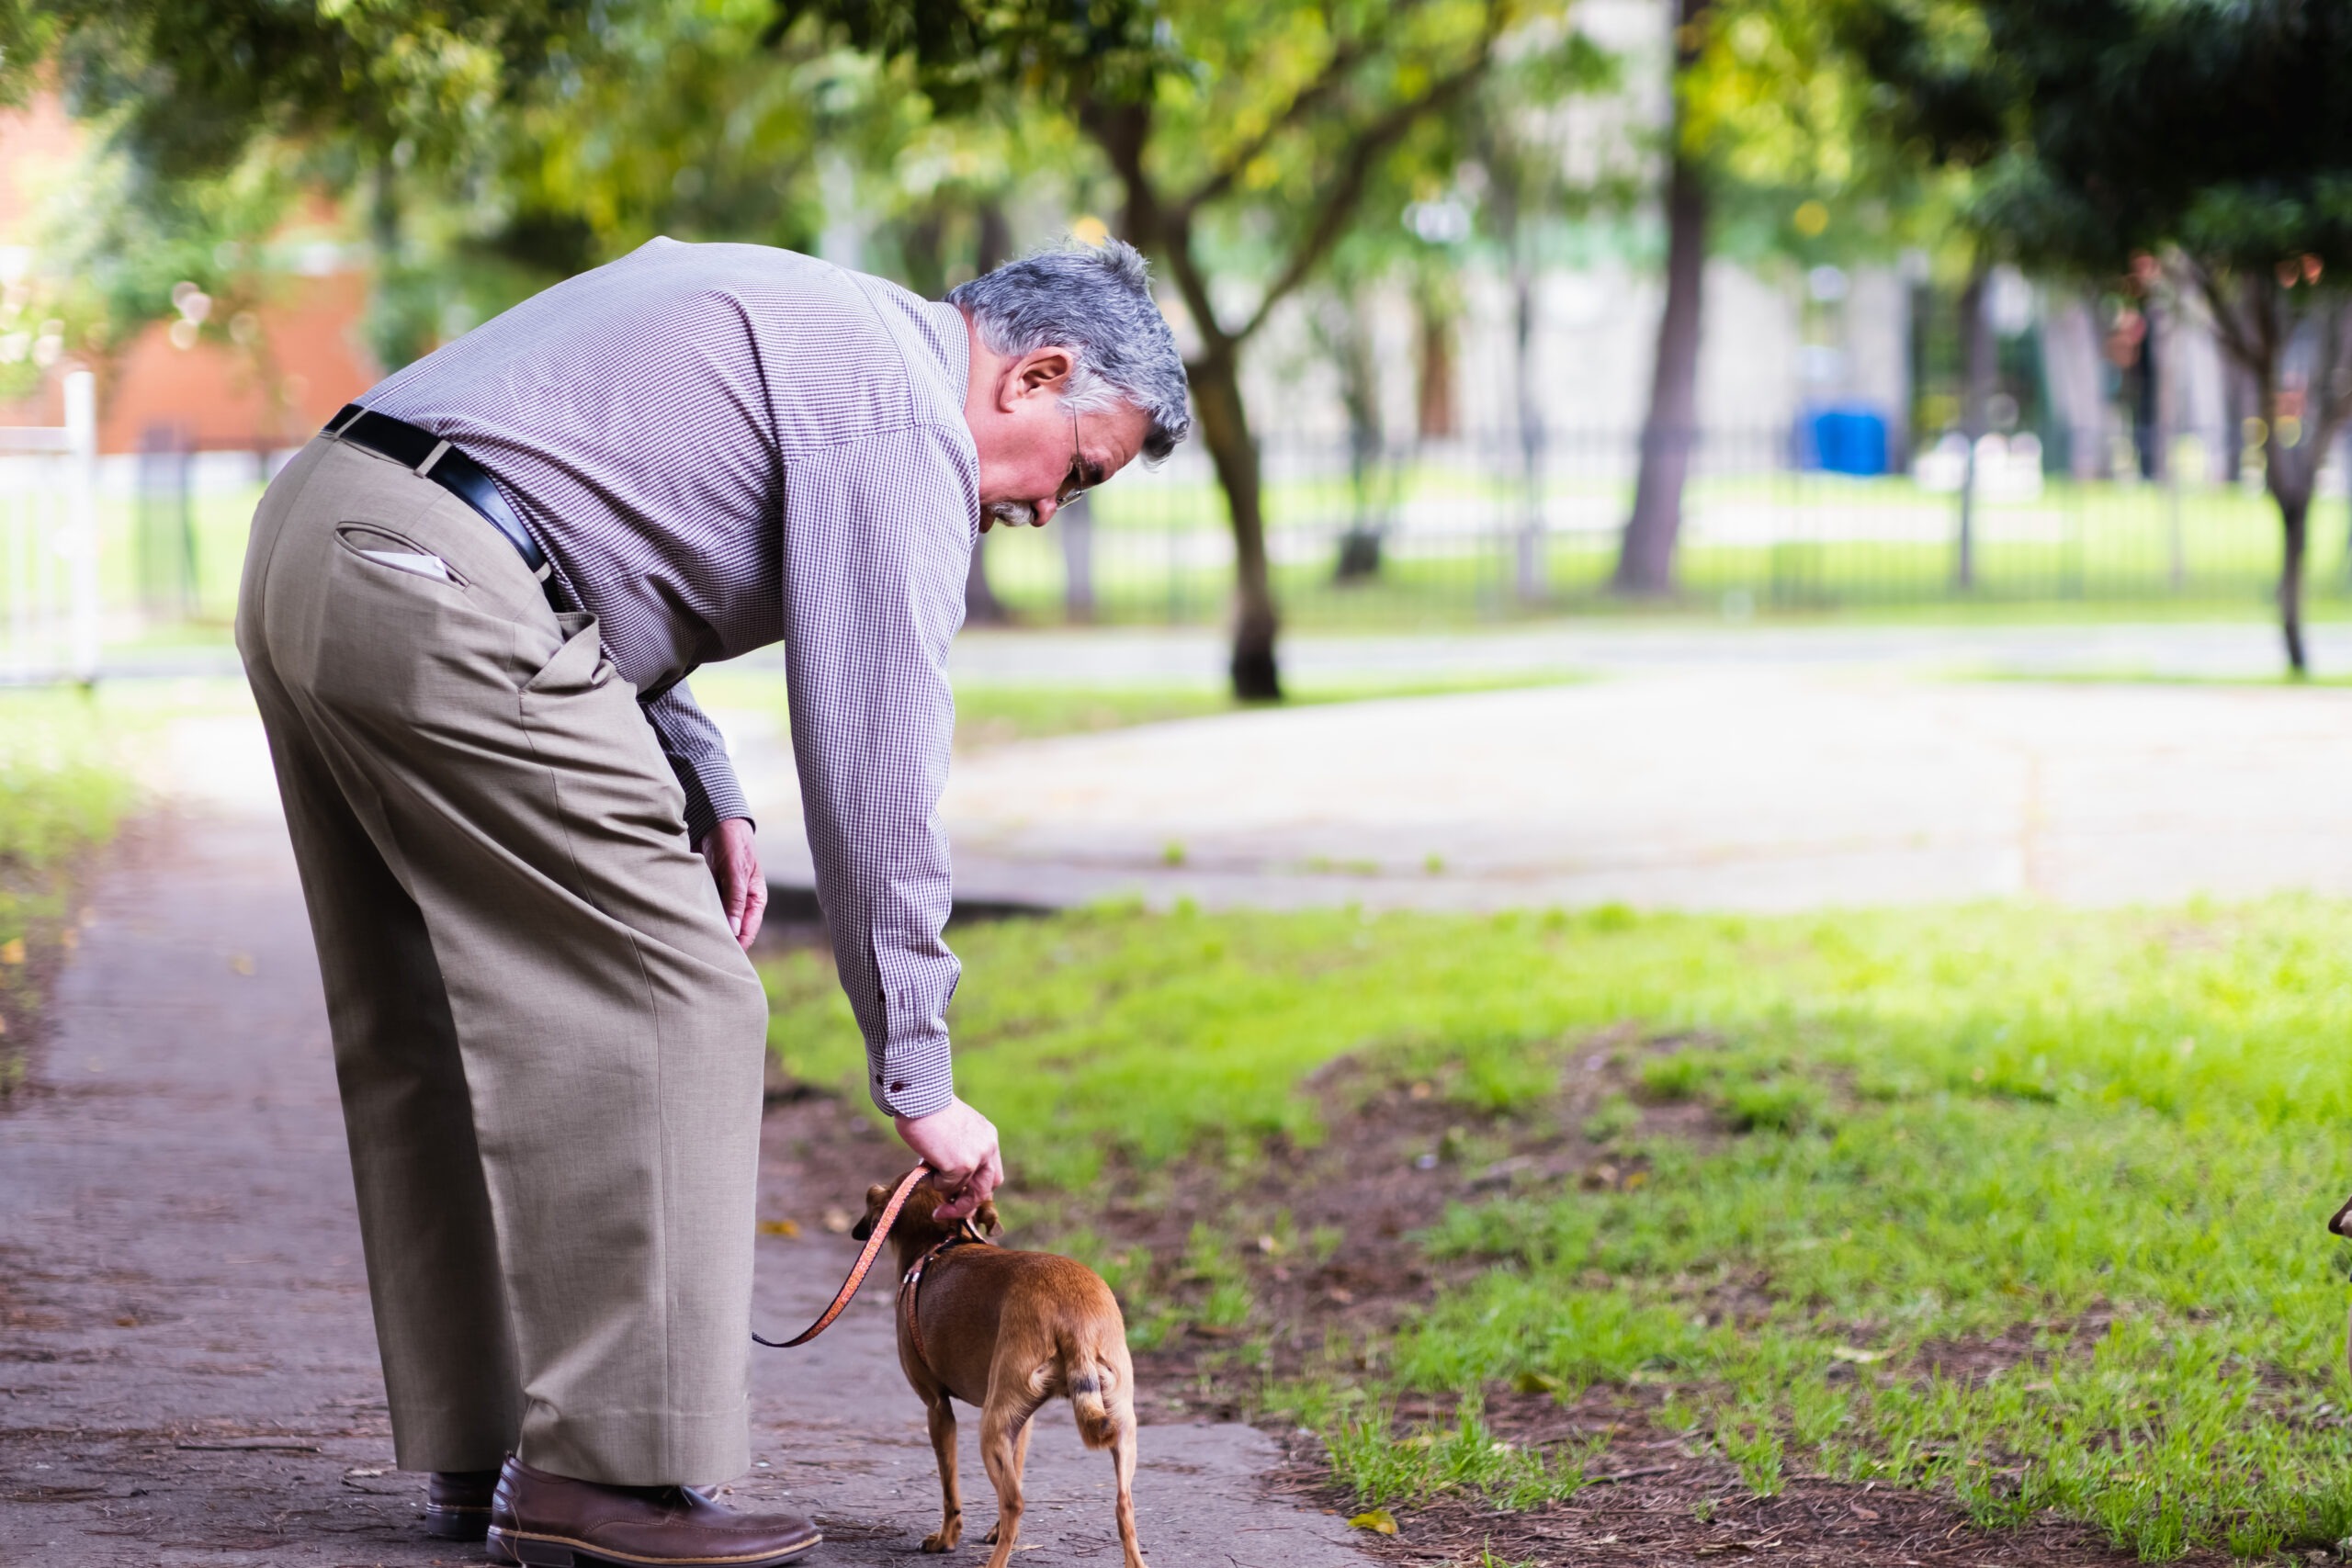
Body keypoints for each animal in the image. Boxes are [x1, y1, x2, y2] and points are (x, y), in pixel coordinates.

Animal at [855, 1175, 1148, 1568]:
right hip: (1118, 1425)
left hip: (991, 1427)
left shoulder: (938, 1410)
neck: (939, 1245)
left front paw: (946, 1539)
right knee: (1123, 1507)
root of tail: (1073, 1316)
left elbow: (950, 1488)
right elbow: (1018, 1468)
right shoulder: (1024, 1423)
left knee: (1014, 1502)